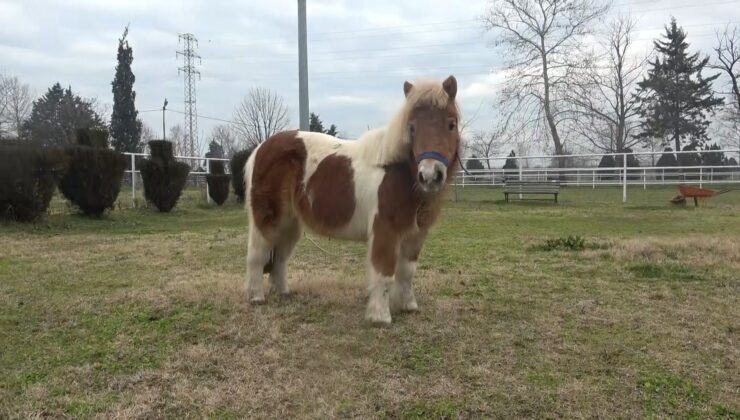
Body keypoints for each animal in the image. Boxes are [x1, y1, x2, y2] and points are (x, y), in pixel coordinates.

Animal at [246, 75, 460, 324]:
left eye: (451, 124)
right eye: (412, 127)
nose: (430, 175)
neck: (399, 172)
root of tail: (261, 148)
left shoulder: (415, 235)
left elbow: (407, 273)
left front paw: (409, 306)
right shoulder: (385, 231)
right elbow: (384, 273)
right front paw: (380, 316)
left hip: (290, 223)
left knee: (280, 256)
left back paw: (283, 293)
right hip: (268, 220)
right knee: (258, 254)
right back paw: (257, 297)